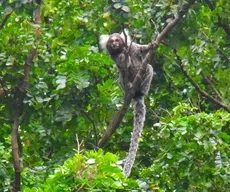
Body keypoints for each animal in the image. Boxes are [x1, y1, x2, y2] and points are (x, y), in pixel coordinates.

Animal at [99, 30, 155, 177]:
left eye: (117, 40)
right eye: (112, 41)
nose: (115, 44)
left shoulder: (133, 47)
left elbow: (141, 49)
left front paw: (151, 45)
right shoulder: (114, 57)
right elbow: (122, 64)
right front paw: (123, 57)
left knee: (149, 67)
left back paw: (142, 90)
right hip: (125, 83)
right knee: (121, 76)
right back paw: (129, 86)